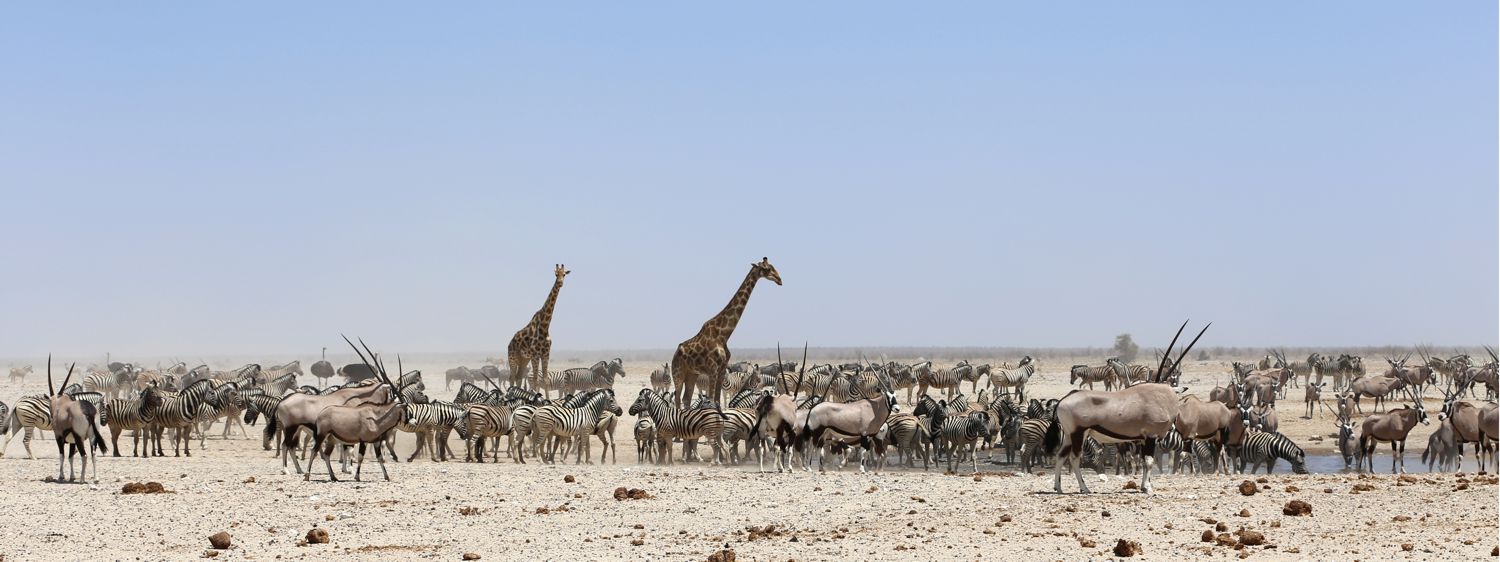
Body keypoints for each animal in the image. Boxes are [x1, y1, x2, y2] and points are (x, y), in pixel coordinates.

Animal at [510, 266, 567, 398]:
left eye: (564, 274)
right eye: (556, 274)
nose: (560, 283)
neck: (545, 326)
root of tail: (510, 341)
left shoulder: (546, 353)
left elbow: (545, 380)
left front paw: (547, 400)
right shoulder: (535, 355)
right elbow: (536, 380)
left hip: (523, 359)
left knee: (518, 377)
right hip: (512, 357)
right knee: (511, 377)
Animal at [672, 259, 780, 410]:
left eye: (772, 266)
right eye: (767, 269)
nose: (779, 280)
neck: (724, 334)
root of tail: (675, 353)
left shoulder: (722, 369)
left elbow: (717, 400)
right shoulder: (712, 370)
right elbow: (711, 400)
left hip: (692, 373)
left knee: (686, 398)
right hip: (678, 373)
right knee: (677, 399)